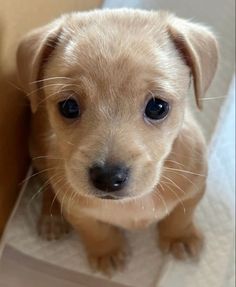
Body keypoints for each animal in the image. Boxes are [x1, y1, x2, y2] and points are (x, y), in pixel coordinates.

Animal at [17, 8, 218, 274]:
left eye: (157, 107)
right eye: (68, 107)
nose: (107, 178)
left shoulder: (194, 189)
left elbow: (181, 216)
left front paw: (179, 237)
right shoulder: (77, 209)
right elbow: (95, 230)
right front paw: (107, 252)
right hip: (39, 155)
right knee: (48, 184)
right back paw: (52, 217)